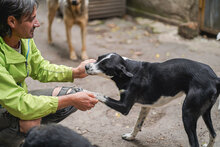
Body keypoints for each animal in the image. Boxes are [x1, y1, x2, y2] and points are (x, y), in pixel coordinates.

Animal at [84, 52, 220, 147]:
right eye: (98, 58)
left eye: (104, 66)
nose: (85, 66)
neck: (130, 71)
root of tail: (215, 78)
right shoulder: (146, 106)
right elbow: (137, 124)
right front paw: (130, 137)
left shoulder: (124, 107)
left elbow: (100, 94)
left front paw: (84, 91)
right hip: (205, 112)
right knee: (213, 134)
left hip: (187, 113)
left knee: (195, 142)